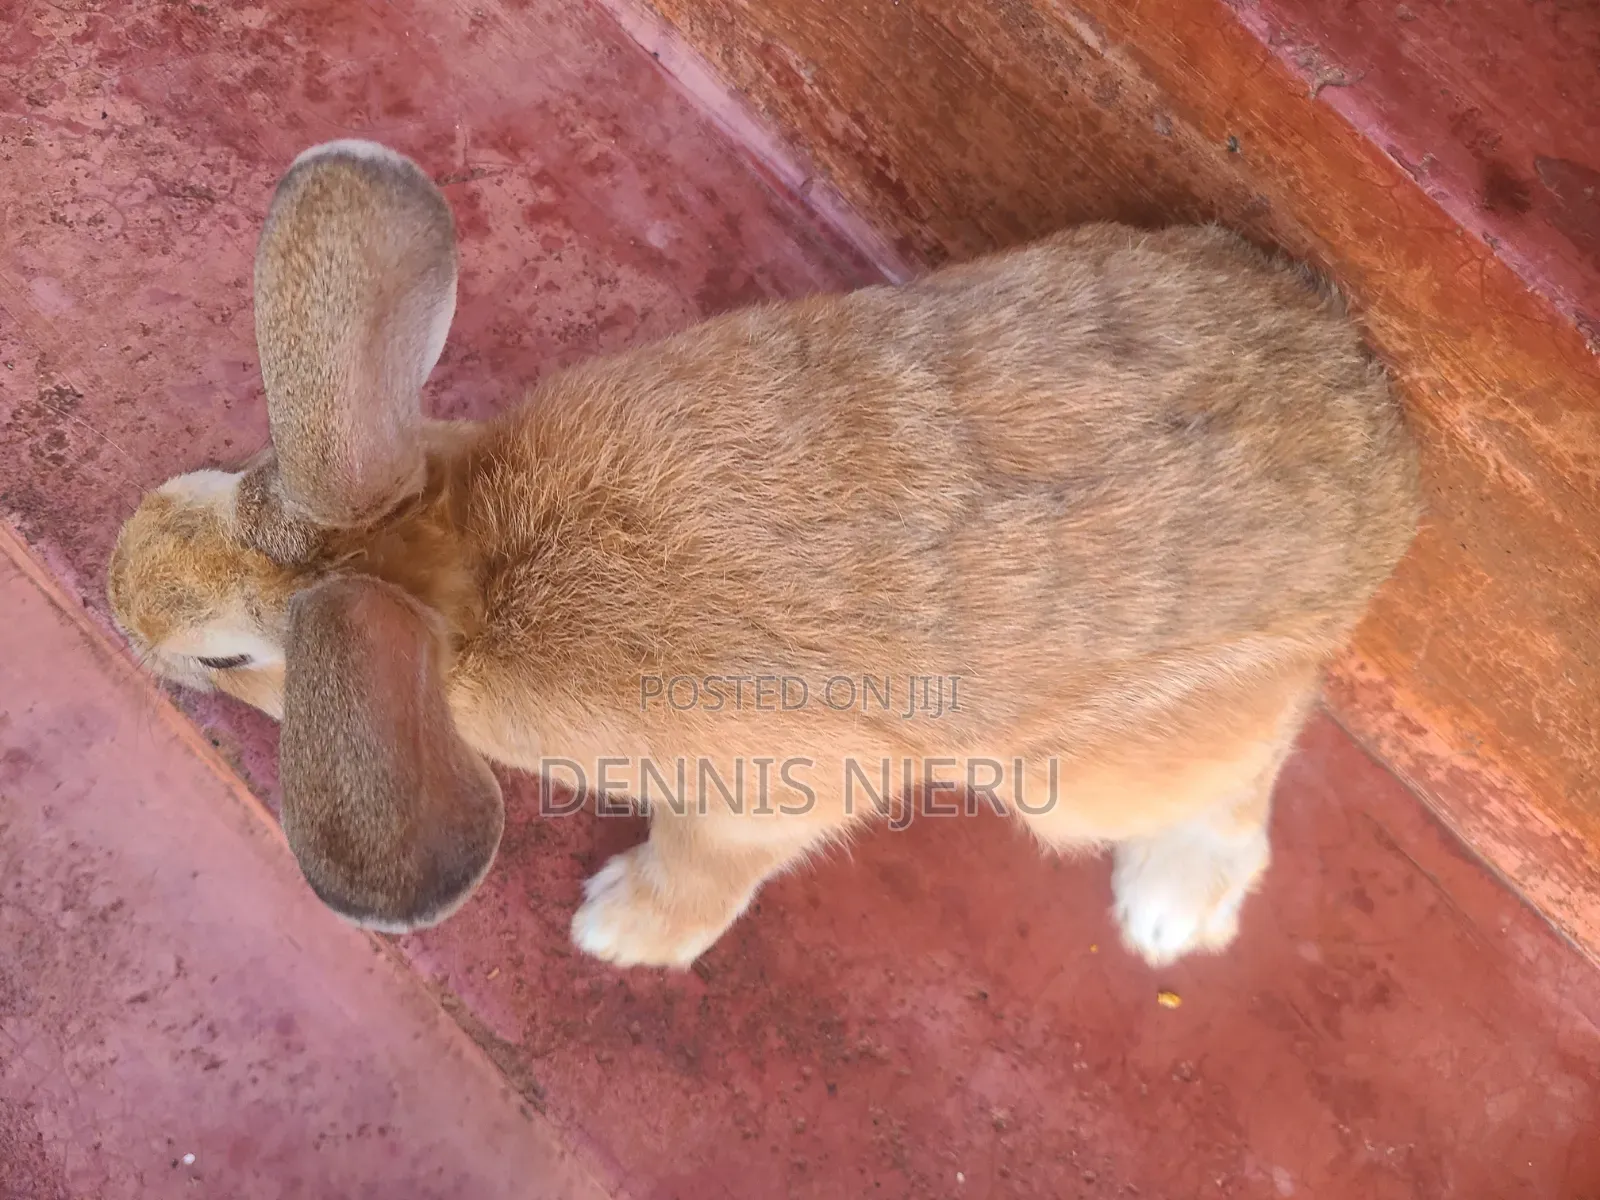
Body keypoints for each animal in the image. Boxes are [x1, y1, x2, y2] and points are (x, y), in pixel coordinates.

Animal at [106, 138, 1419, 969]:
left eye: (227, 662)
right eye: (247, 467)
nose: (121, 595)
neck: (464, 568)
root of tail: (1380, 457)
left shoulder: (757, 797)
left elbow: (710, 866)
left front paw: (619, 931)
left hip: (1113, 767)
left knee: (1240, 777)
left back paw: (1169, 910)